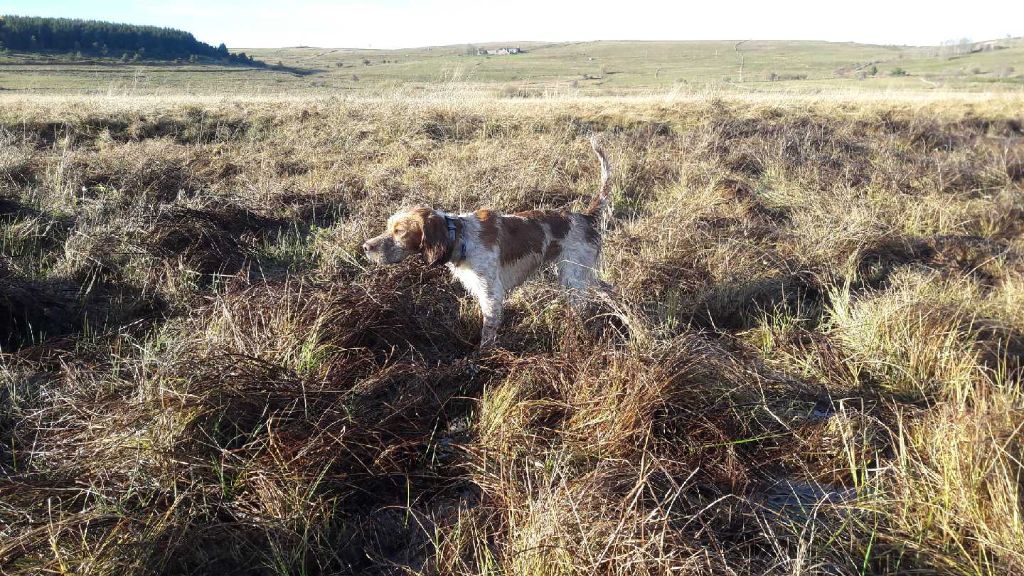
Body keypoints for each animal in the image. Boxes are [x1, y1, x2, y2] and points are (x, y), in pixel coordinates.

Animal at [364, 136, 610, 344]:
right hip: (581, 275)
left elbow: (488, 331)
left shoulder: (491, 293)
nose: (366, 246)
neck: (461, 237)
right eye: (389, 227)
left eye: (399, 231)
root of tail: (585, 217)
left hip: (573, 278)